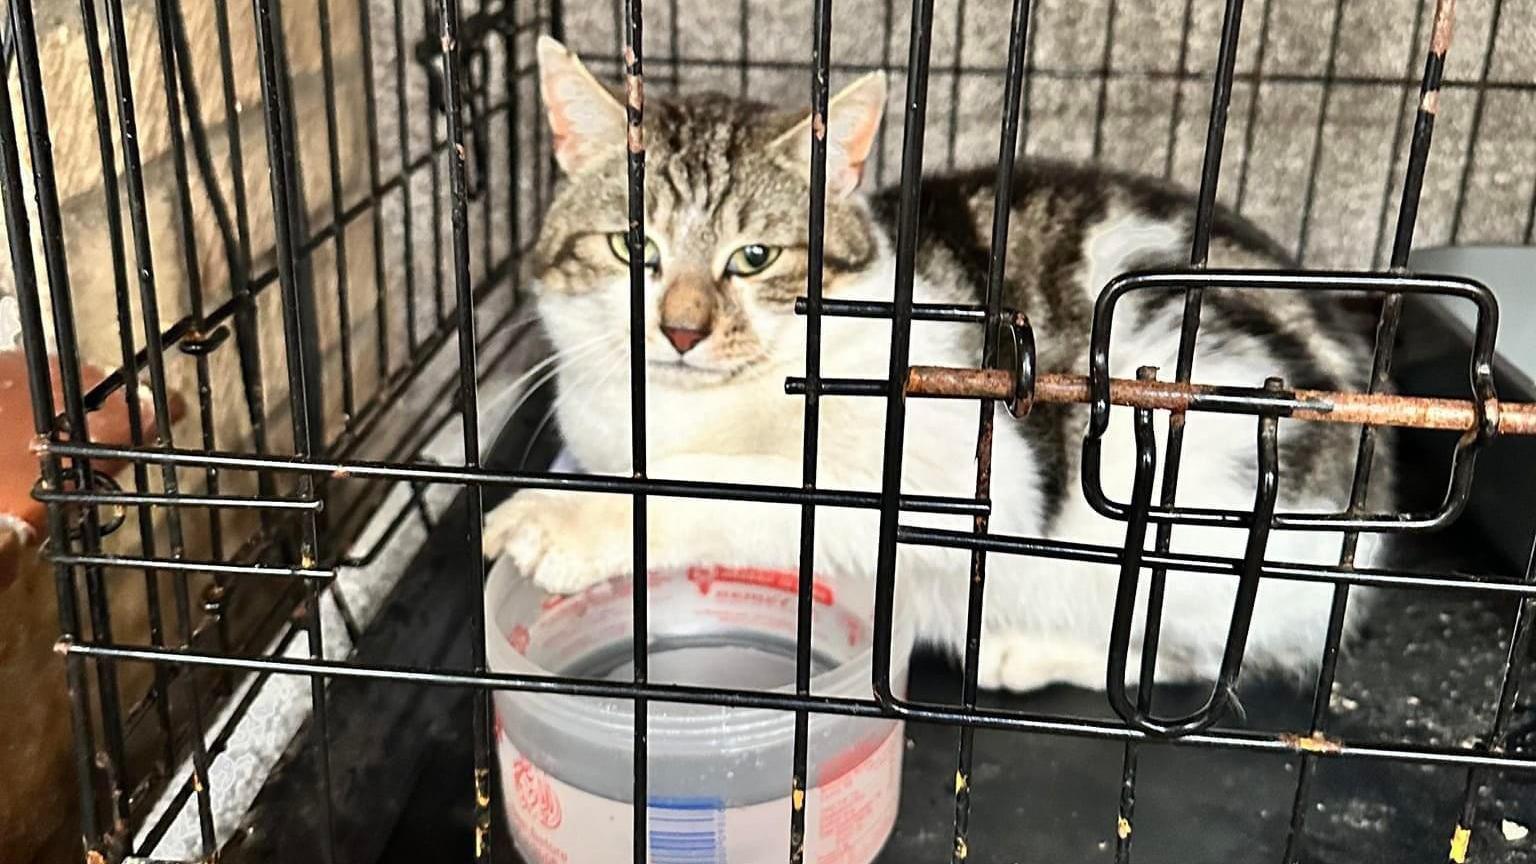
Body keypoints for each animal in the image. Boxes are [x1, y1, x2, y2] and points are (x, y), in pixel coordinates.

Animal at [482, 36, 1394, 688]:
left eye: (754, 256)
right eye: (632, 248)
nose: (680, 330)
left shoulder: (957, 468)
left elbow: (736, 486)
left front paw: (559, 519)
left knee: (1210, 659)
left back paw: (1027, 651)